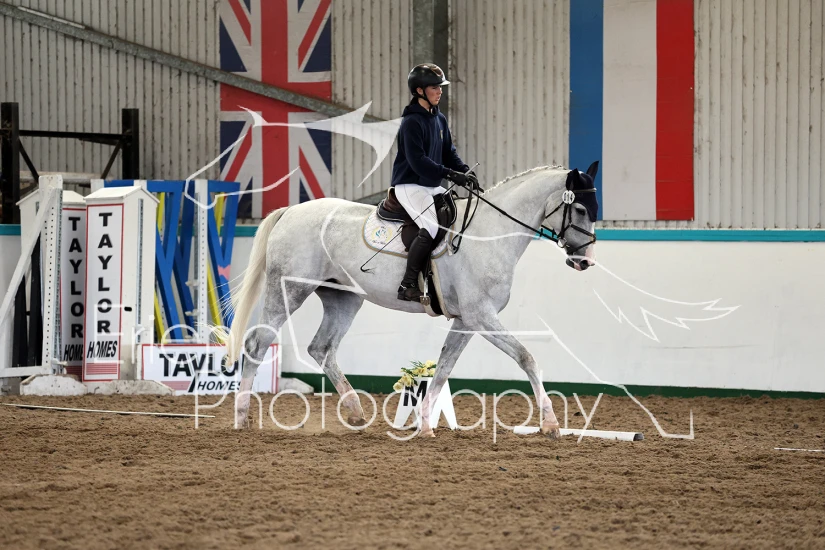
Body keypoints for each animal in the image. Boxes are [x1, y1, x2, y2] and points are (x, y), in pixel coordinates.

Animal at [224, 162, 600, 438]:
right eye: (581, 208)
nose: (585, 261)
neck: (489, 235)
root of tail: (290, 211)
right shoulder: (481, 316)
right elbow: (526, 357)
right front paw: (550, 424)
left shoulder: (465, 321)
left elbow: (443, 369)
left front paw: (425, 424)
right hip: (289, 291)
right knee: (257, 344)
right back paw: (241, 418)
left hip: (344, 299)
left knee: (322, 349)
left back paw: (357, 413)